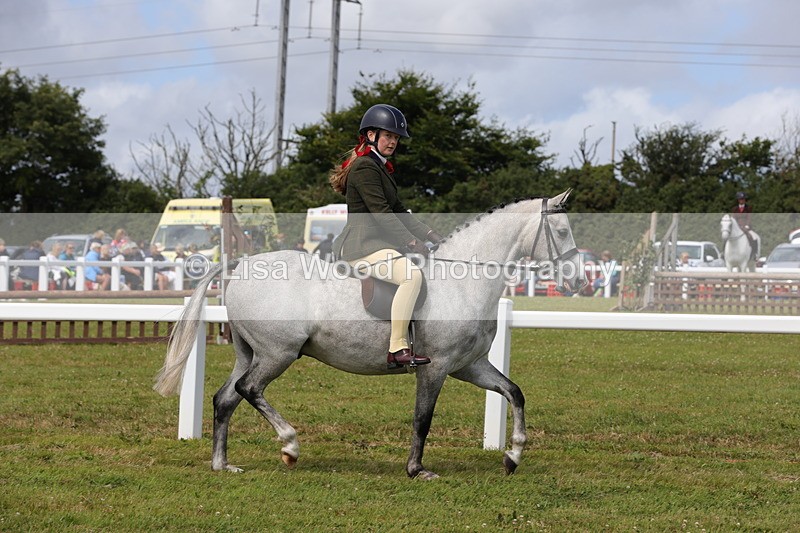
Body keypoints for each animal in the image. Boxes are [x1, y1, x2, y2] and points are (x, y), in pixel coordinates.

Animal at [154, 190, 586, 480]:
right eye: (561, 231)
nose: (578, 280)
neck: (465, 281)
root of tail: (240, 266)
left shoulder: (470, 366)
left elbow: (514, 392)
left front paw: (513, 455)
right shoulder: (436, 367)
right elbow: (422, 418)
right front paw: (416, 469)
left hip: (250, 352)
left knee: (225, 398)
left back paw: (223, 464)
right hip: (278, 353)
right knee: (249, 390)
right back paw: (290, 446)